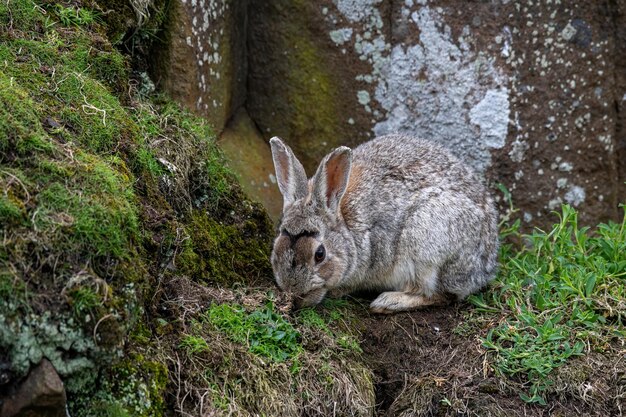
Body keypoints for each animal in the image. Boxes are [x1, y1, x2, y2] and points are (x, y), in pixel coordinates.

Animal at [268, 133, 498, 312]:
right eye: (276, 244)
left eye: (320, 254)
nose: (295, 294)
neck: (345, 222)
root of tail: (486, 267)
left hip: (427, 239)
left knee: (442, 294)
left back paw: (388, 302)